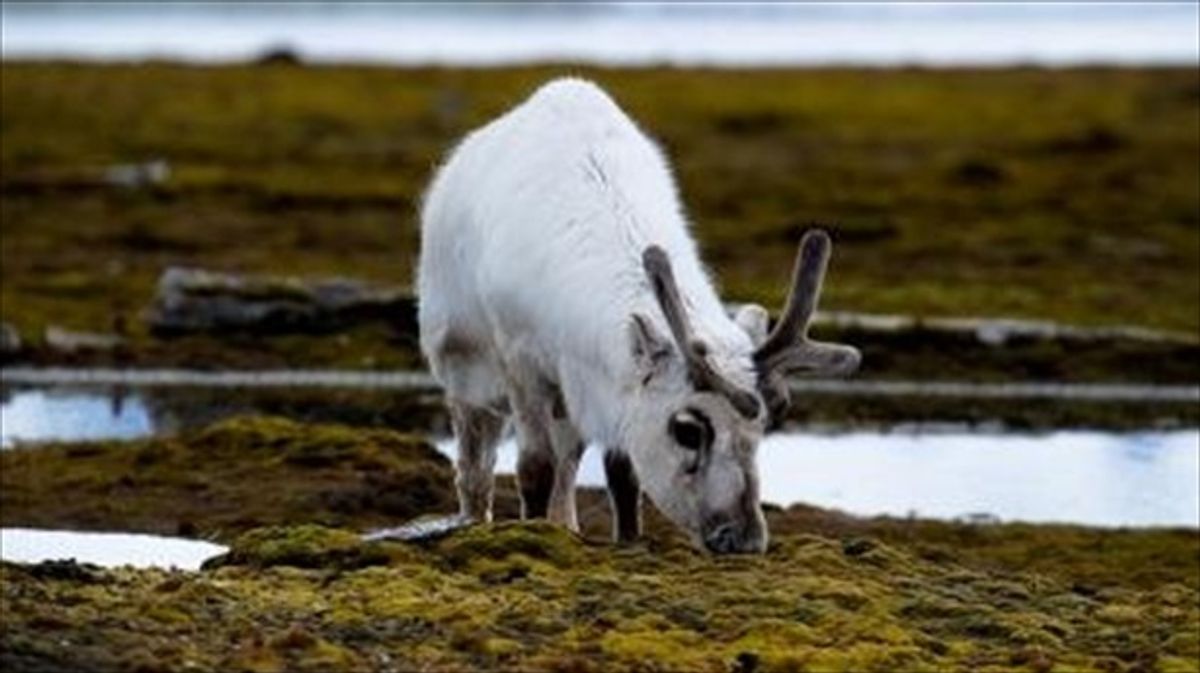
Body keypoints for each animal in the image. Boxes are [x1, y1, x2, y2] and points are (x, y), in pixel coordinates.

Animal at [417, 78, 859, 554]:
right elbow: (535, 469)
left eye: (763, 427)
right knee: (475, 469)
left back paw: (565, 525)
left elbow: (622, 475)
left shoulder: (611, 387)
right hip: (464, 374)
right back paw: (475, 517)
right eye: (688, 429)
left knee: (567, 463)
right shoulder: (522, 365)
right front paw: (530, 532)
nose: (743, 539)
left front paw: (627, 540)